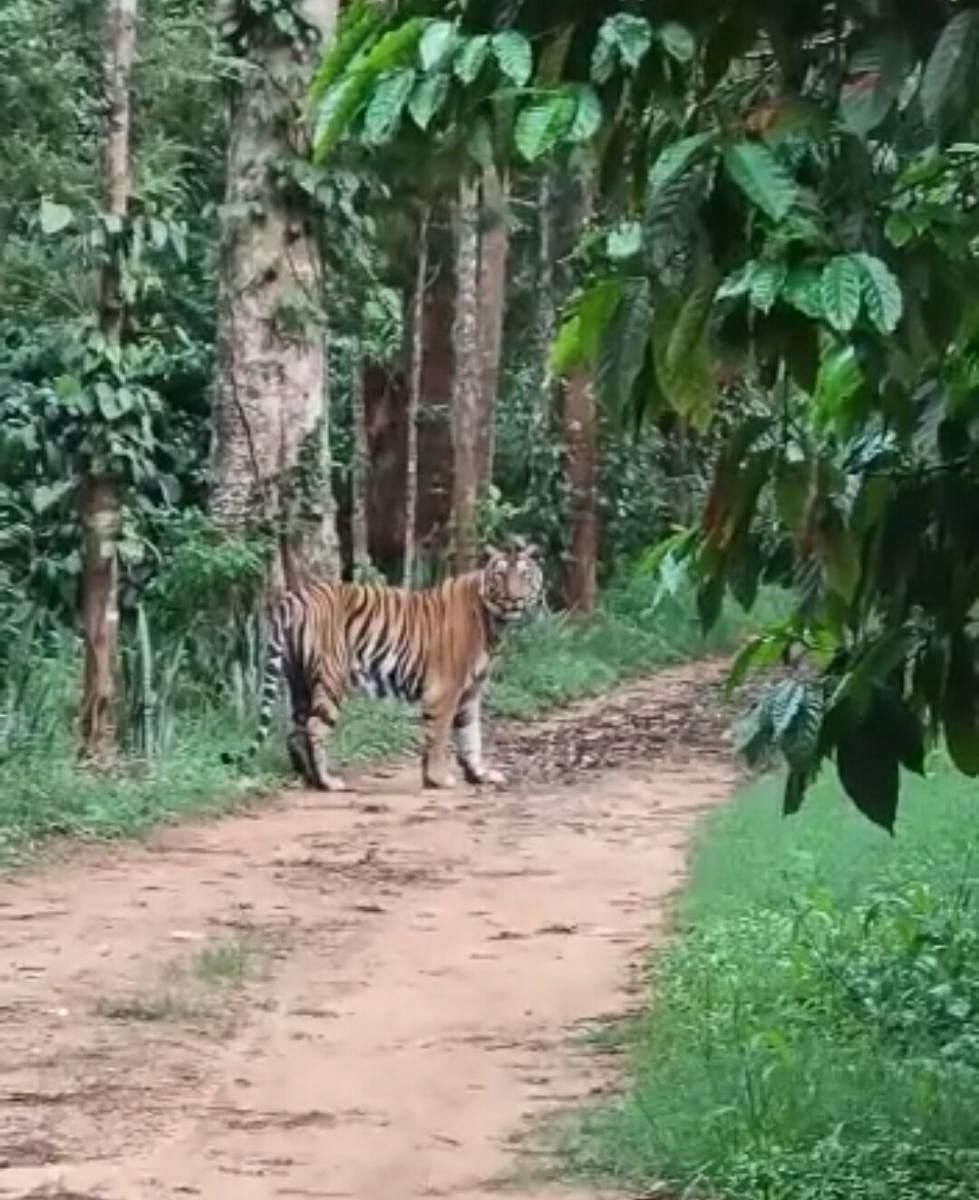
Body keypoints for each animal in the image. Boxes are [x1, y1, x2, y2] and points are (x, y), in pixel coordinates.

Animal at [227, 542, 542, 787]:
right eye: (500, 575)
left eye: (524, 575)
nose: (514, 598)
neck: (494, 622)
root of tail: (294, 596)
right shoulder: (445, 690)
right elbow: (440, 737)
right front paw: (438, 779)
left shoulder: (470, 692)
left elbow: (470, 735)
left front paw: (479, 774)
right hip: (331, 677)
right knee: (315, 728)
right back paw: (327, 781)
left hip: (299, 680)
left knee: (296, 731)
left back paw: (309, 779)